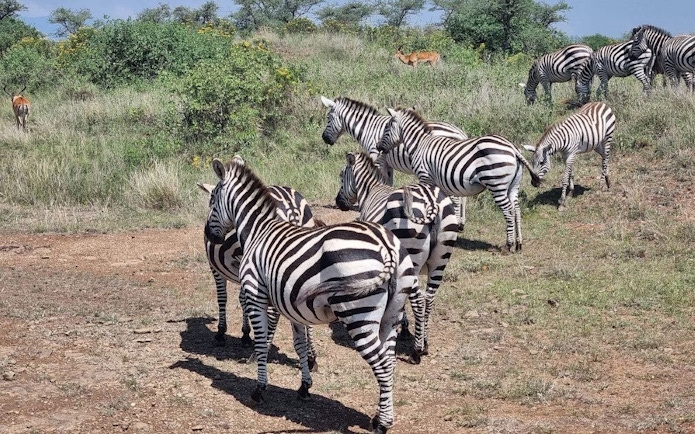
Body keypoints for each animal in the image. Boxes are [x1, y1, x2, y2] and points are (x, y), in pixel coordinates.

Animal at [198, 182, 321, 369]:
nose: (210, 235)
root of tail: (290, 205)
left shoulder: (216, 268)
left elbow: (222, 298)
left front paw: (221, 332)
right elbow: (243, 300)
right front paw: (245, 335)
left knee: (273, 313)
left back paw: (256, 355)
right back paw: (312, 357)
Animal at [320, 95, 470, 232]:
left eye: (328, 118)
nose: (324, 139)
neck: (368, 129)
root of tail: (460, 133)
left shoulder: (377, 159)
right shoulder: (387, 164)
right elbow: (388, 182)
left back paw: (457, 221)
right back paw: (461, 222)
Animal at [335, 151, 458, 361]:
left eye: (342, 176)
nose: (338, 203)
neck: (370, 191)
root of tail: (430, 199)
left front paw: (404, 327)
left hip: (412, 256)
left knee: (418, 299)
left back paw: (417, 350)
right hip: (441, 259)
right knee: (429, 298)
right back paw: (425, 342)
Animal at [377, 107, 541, 253]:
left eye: (386, 128)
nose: (378, 147)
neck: (419, 145)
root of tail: (512, 147)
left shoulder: (425, 177)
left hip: (496, 183)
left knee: (508, 211)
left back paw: (508, 245)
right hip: (513, 185)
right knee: (517, 209)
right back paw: (519, 244)